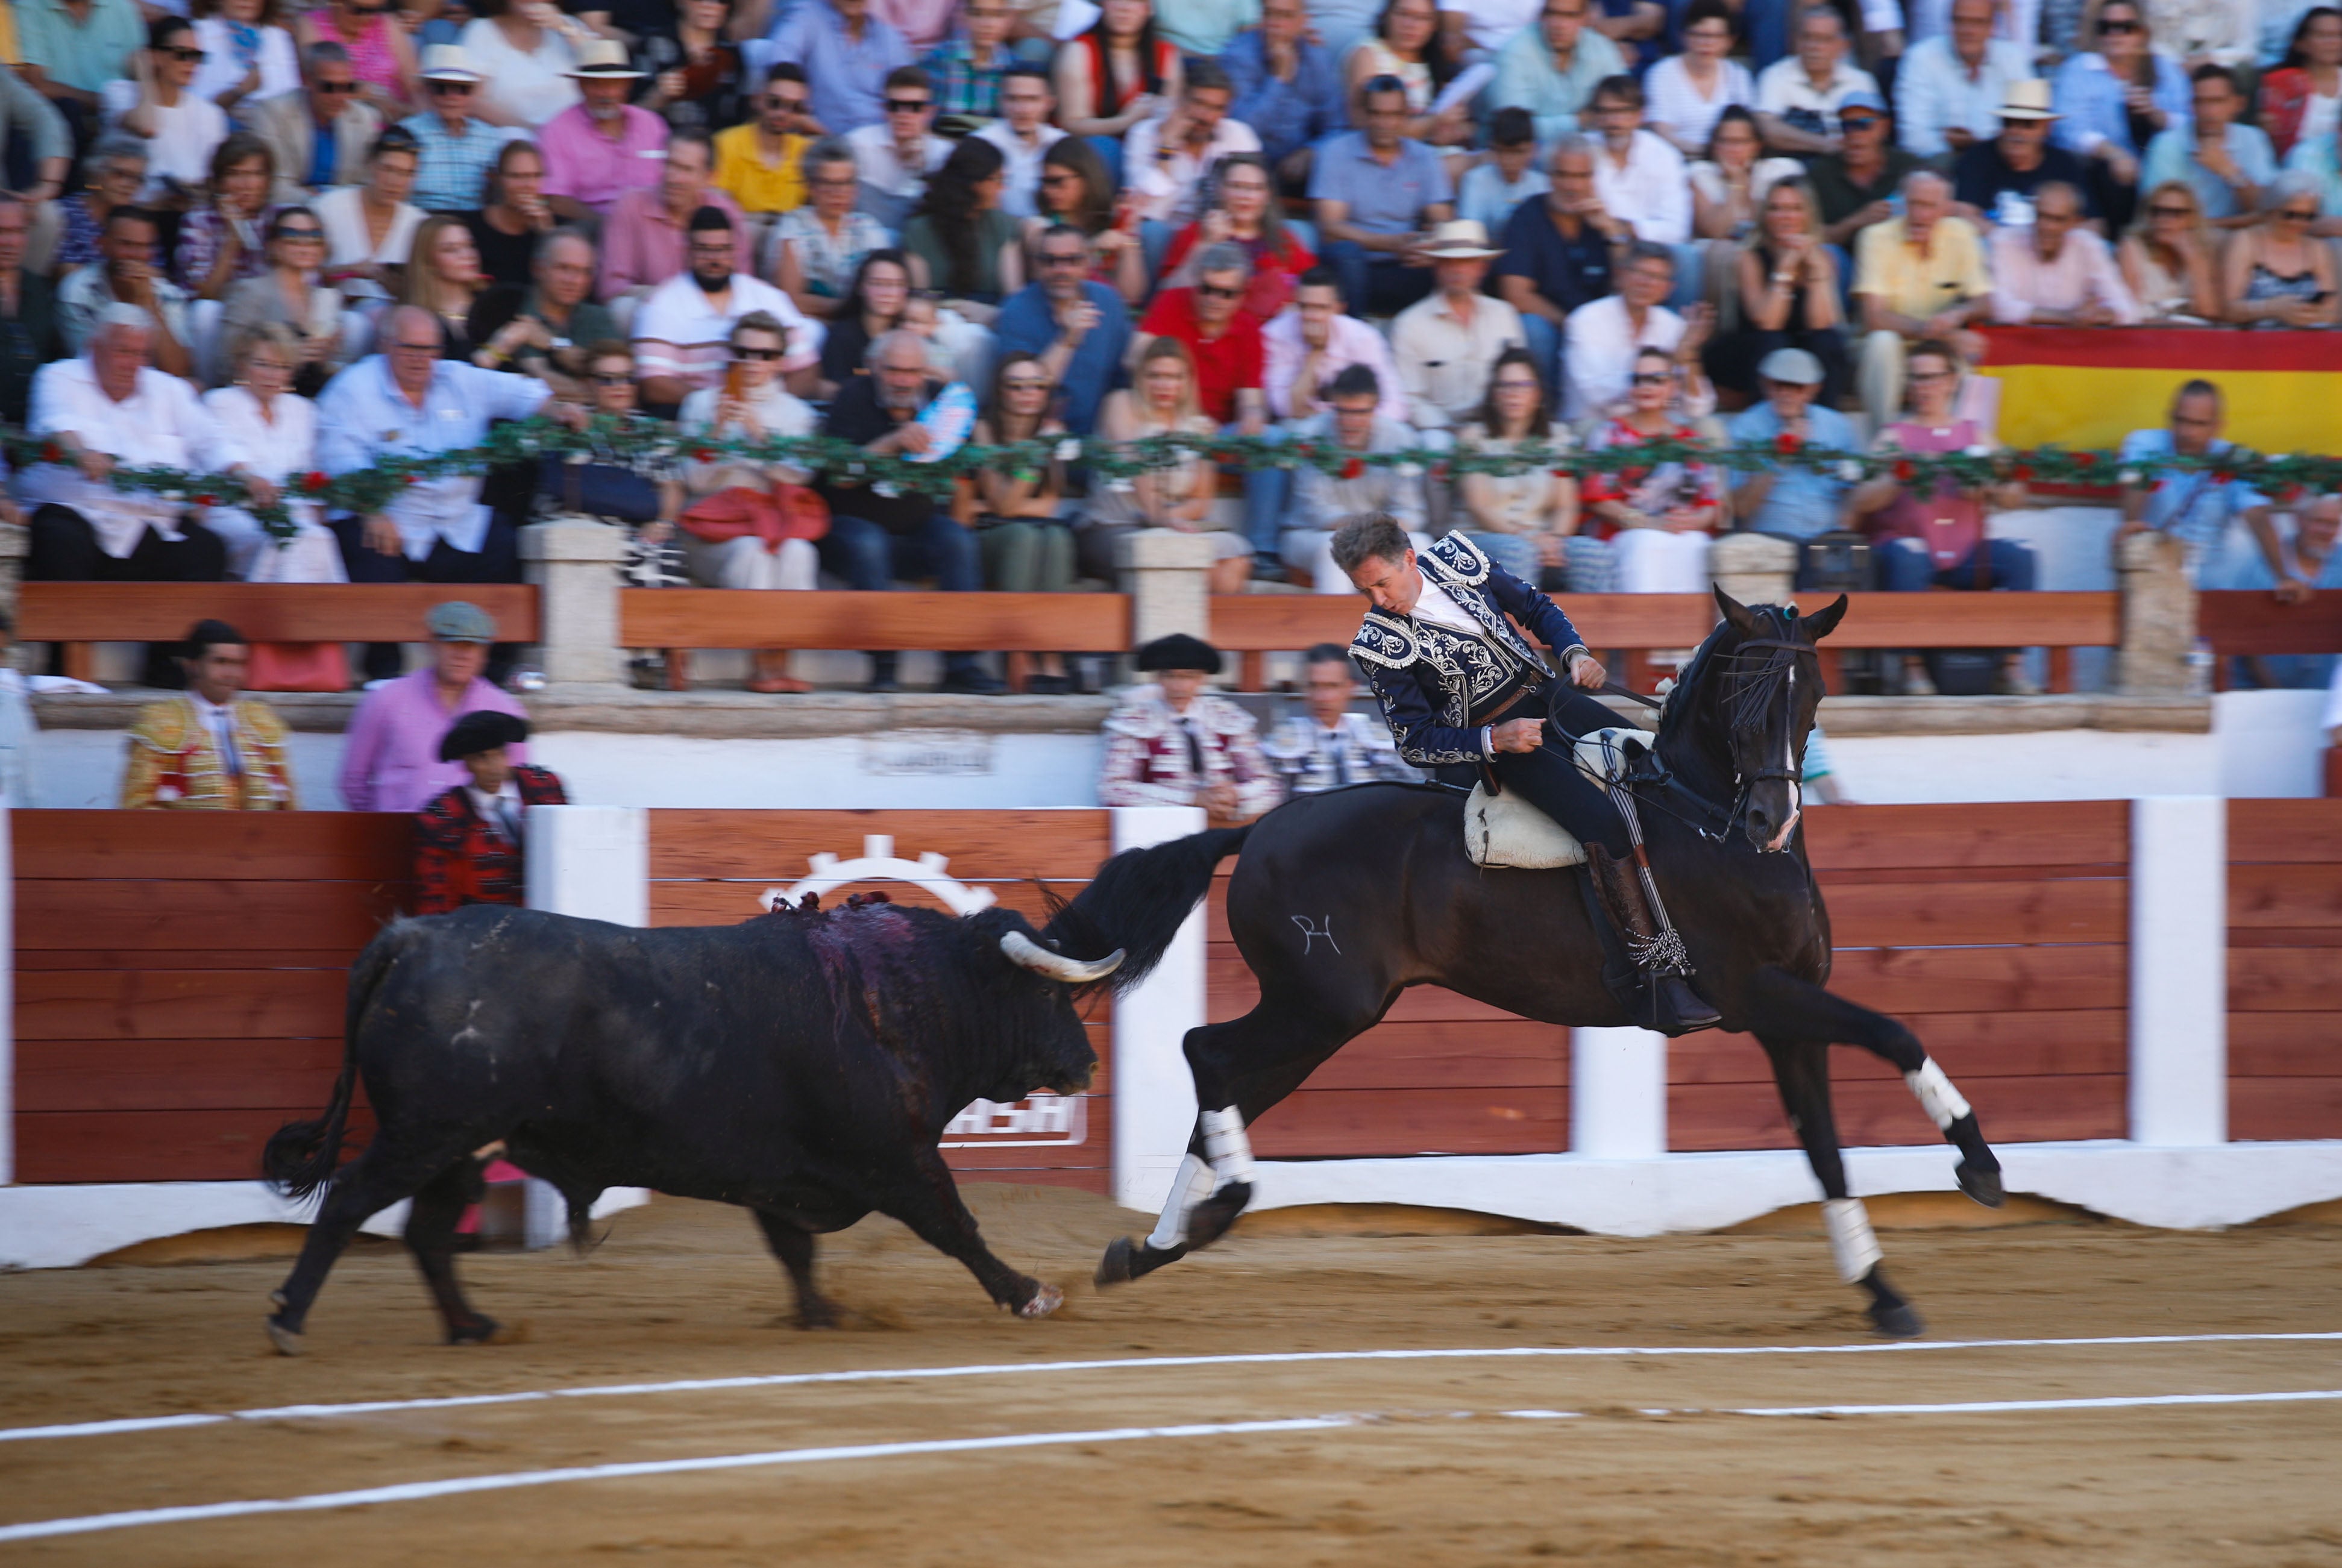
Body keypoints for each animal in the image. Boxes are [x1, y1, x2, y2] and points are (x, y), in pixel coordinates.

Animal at [261, 828, 1246, 1357]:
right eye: (1044, 995)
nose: (1085, 1066)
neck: (909, 994)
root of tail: (412, 937)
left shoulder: (786, 1175)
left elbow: (795, 1251)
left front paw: (820, 1315)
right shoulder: (895, 1157)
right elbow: (954, 1223)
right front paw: (1030, 1292)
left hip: (462, 1146)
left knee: (428, 1233)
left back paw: (474, 1325)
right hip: (426, 1132)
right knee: (351, 1202)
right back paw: (289, 1320)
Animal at [1100, 597, 2014, 1347]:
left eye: (1812, 695)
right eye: (1742, 699)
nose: (1767, 820)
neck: (1699, 812)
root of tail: (1255, 828)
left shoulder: (1791, 1018)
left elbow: (1826, 1148)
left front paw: (1883, 1292)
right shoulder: (1759, 994)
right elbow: (1892, 1031)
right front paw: (1979, 1164)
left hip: (1320, 1019)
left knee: (1224, 1087)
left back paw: (1153, 1246)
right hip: (1318, 1008)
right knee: (1206, 1051)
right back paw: (1209, 1213)